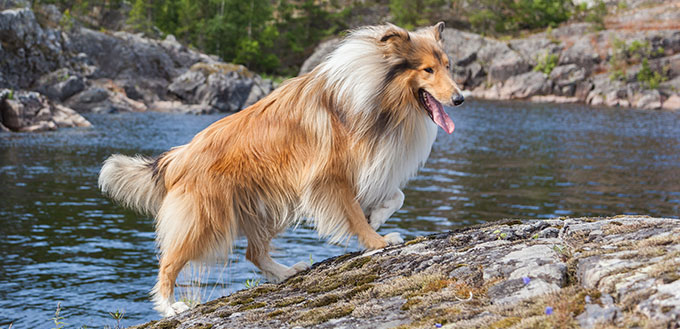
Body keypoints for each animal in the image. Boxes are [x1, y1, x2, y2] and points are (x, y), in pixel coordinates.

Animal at [98, 21, 464, 316]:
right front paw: (376, 240)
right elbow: (354, 213)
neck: (378, 94)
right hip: (206, 219)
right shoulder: (331, 176)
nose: (460, 99)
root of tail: (178, 156)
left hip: (268, 206)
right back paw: (170, 306)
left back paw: (286, 272)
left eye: (448, 66)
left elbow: (396, 196)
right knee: (168, 262)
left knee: (253, 253)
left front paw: (377, 217)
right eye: (428, 70)